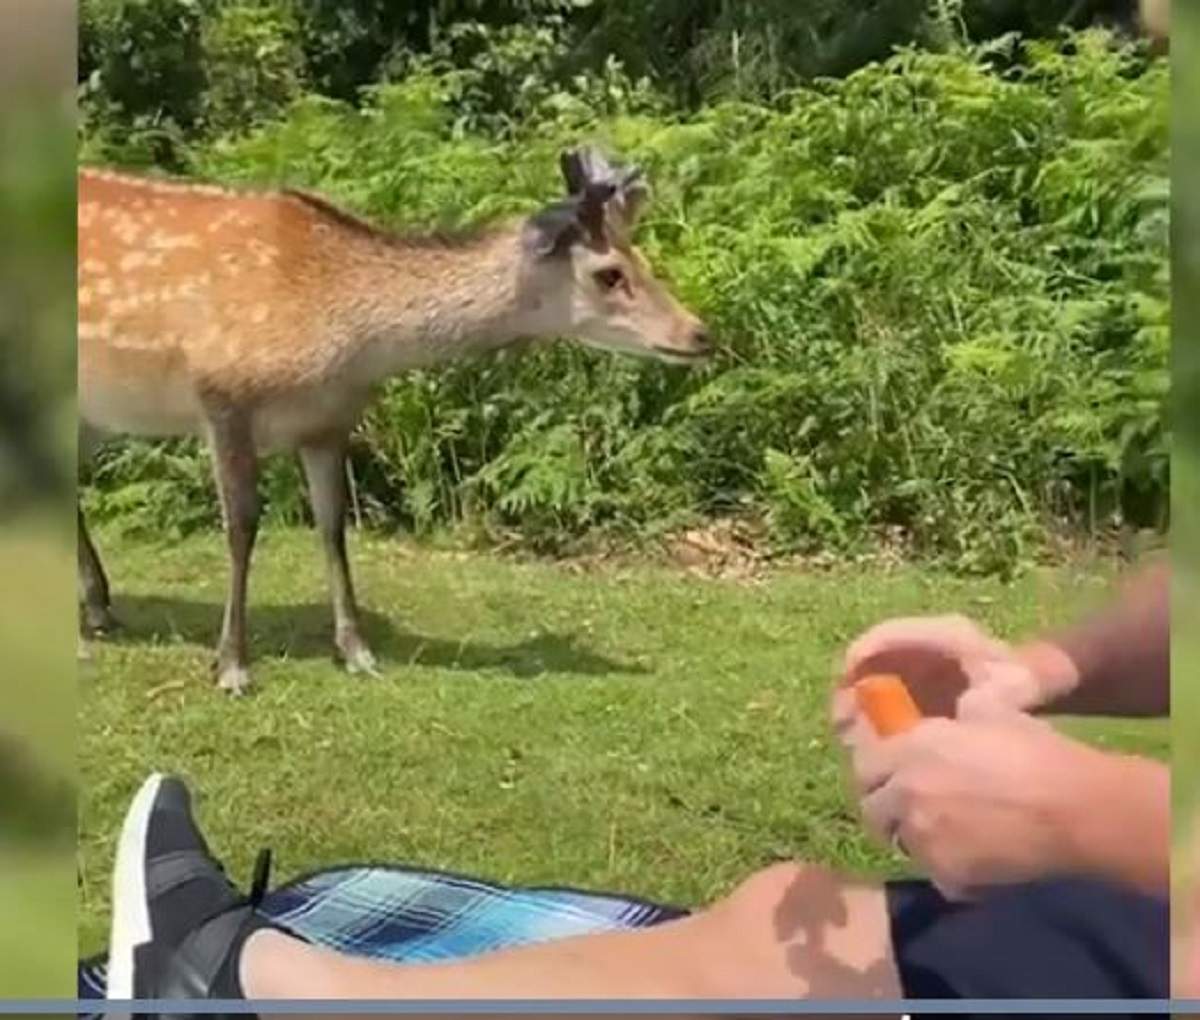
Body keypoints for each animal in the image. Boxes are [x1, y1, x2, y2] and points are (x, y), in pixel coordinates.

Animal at [77, 145, 710, 691]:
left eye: (643, 259)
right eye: (609, 273)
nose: (699, 333)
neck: (342, 339)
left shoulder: (328, 421)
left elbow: (333, 526)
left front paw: (356, 651)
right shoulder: (222, 395)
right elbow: (241, 528)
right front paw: (232, 665)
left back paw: (99, 607)